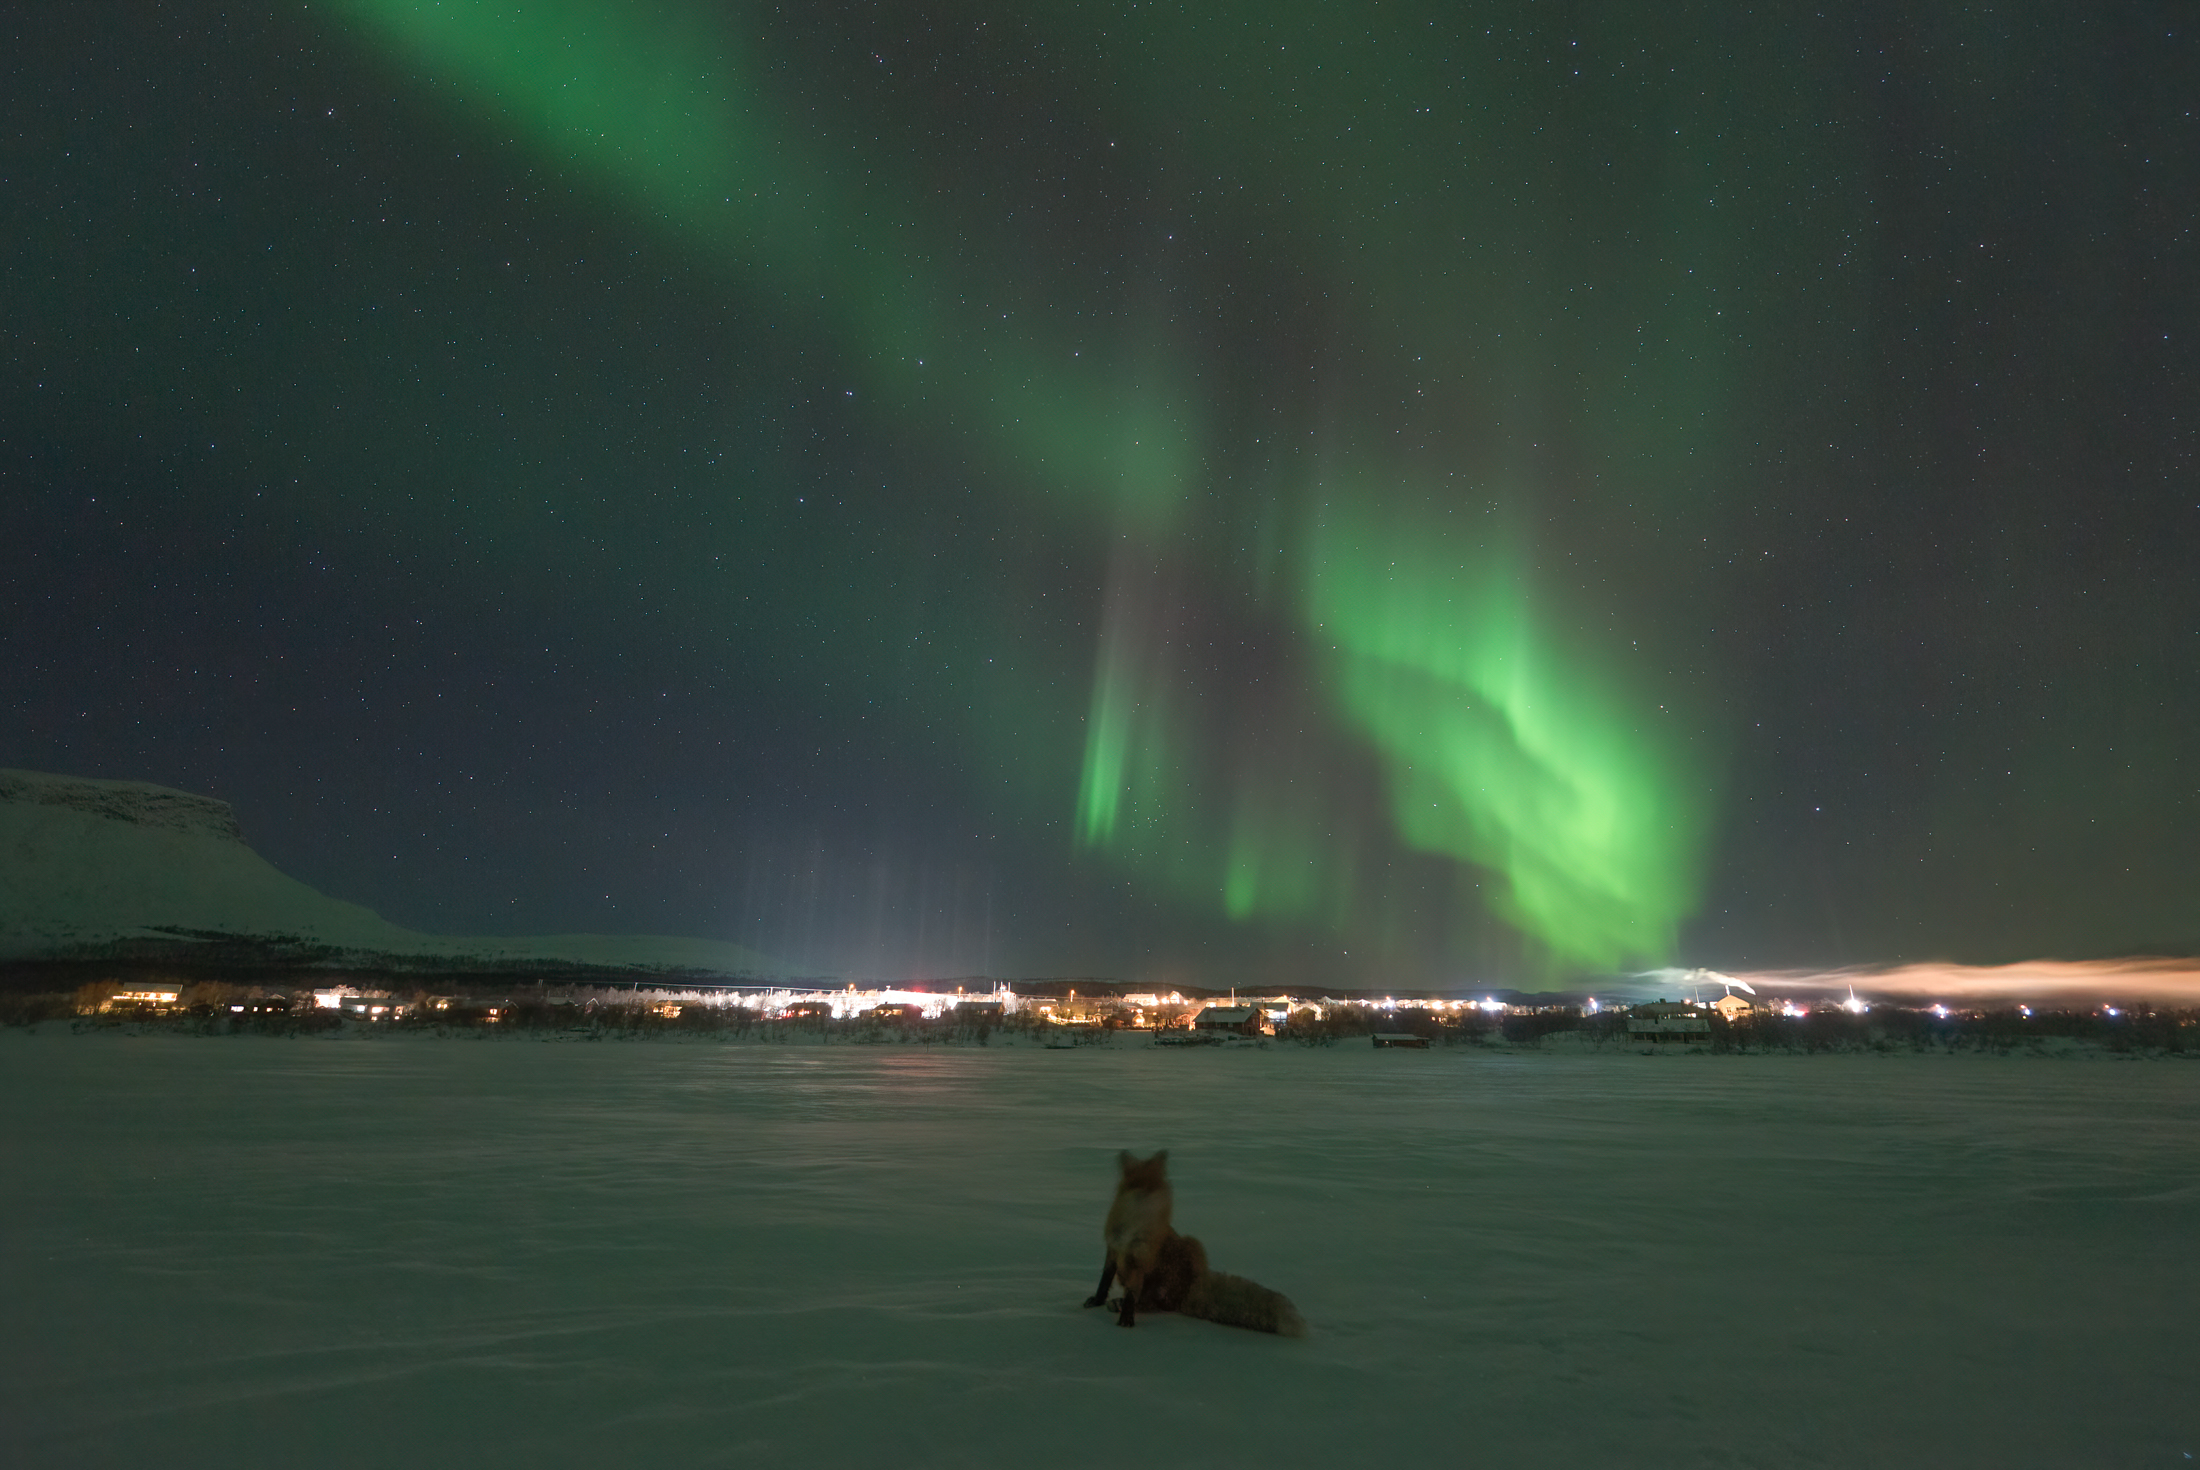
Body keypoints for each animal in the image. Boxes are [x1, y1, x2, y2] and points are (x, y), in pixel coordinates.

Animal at [1081, 1150, 1308, 1337]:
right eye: (1135, 1184)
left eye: (1153, 1185)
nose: (1144, 1198)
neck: (1132, 1230)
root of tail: (1193, 1286)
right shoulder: (1113, 1248)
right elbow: (1104, 1281)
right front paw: (1097, 1301)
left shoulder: (1141, 1258)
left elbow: (1131, 1296)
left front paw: (1127, 1316)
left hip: (1191, 1245)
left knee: (1159, 1305)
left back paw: (1126, 1305)